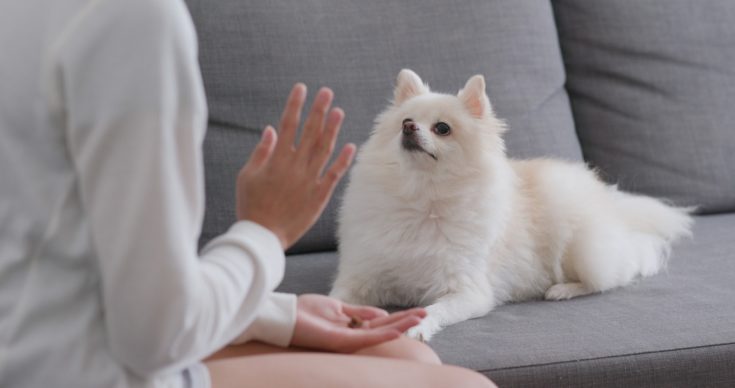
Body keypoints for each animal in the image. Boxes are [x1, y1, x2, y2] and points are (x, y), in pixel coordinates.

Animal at [330, 69, 692, 340]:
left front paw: (415, 327)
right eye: (405, 120)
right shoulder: (361, 276)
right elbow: (333, 298)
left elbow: (434, 309)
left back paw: (563, 289)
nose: (408, 128)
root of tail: (613, 205)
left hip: (585, 249)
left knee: (611, 277)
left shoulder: (468, 292)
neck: (422, 198)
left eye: (442, 128)